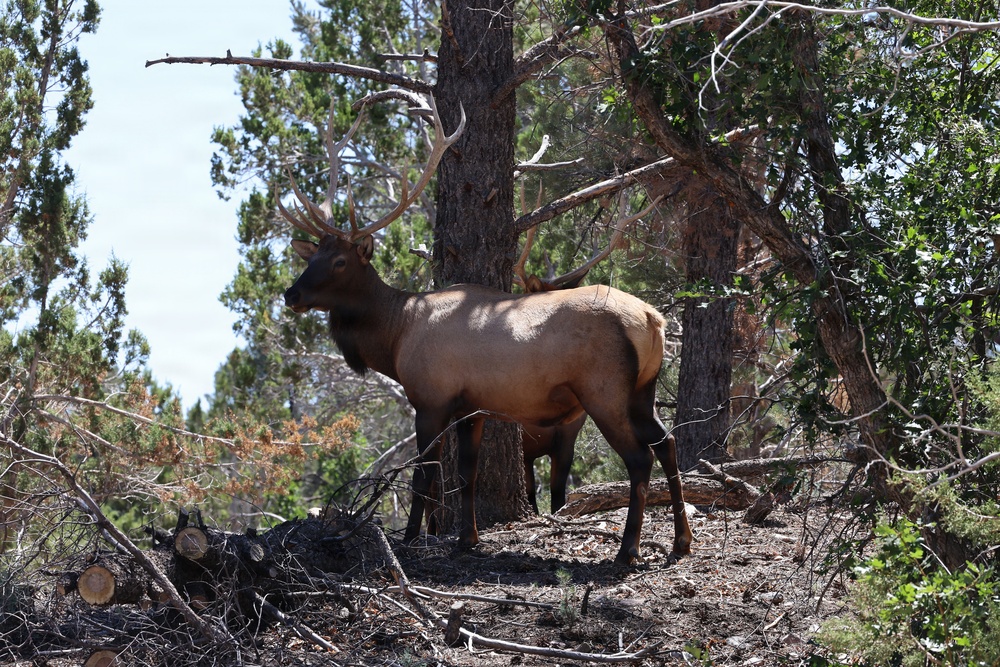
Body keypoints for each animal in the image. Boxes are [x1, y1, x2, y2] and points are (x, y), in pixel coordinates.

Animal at [278, 95, 692, 565]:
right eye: (312, 256)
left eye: (340, 261)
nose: (291, 294)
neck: (395, 336)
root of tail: (653, 320)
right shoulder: (471, 408)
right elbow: (467, 473)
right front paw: (468, 538)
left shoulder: (432, 397)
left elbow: (424, 476)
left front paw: (410, 541)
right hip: (642, 389)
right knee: (668, 444)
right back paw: (681, 541)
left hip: (603, 390)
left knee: (640, 458)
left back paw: (628, 551)